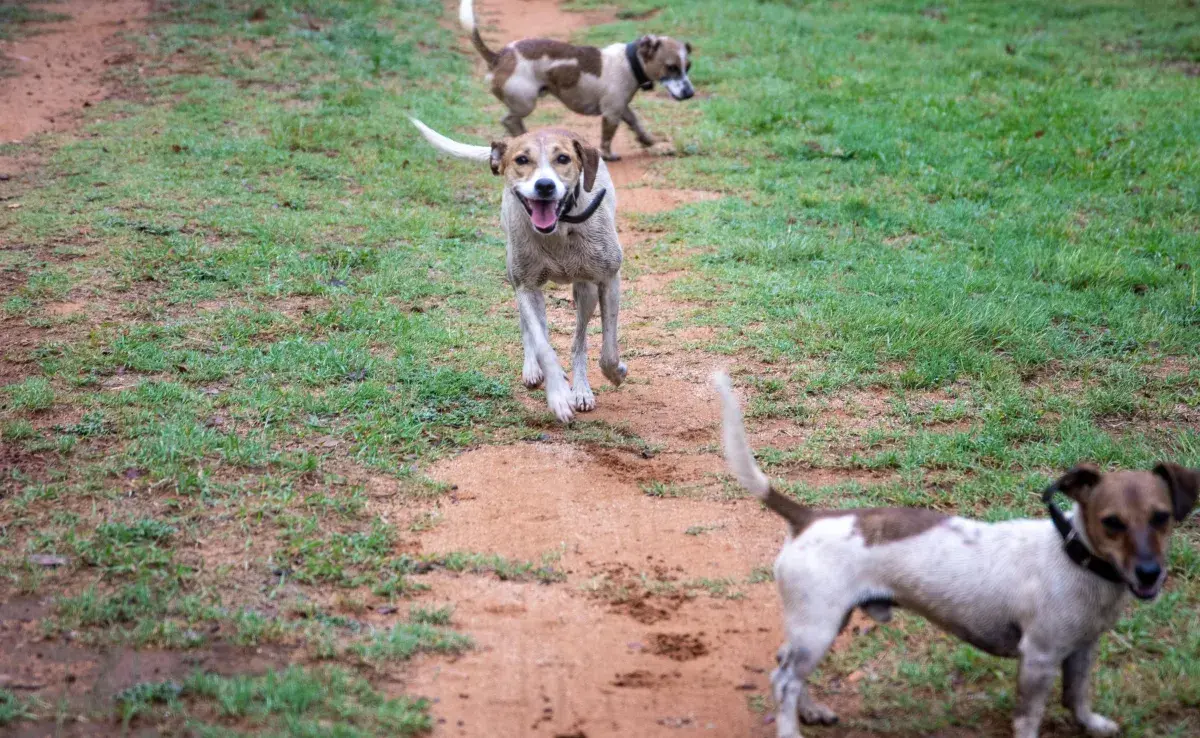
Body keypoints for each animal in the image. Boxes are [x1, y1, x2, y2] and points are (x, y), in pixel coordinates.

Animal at [458, 0, 696, 160]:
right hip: (525, 102)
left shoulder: (621, 107)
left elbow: (636, 123)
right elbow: (607, 137)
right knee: (508, 120)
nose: (690, 93)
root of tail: (498, 57)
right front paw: (608, 155)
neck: (630, 61)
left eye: (688, 67)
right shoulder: (611, 113)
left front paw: (649, 141)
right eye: (671, 67)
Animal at [715, 372, 1195, 738]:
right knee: (783, 681)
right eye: (1112, 522)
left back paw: (810, 711)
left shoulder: (1081, 650)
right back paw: (791, 729)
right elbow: (1029, 717)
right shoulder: (1038, 658)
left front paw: (1092, 724)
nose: (1150, 573)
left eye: (1162, 517)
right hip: (818, 626)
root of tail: (808, 518)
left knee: (787, 667)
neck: (1073, 556)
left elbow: (1077, 696)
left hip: (823, 624)